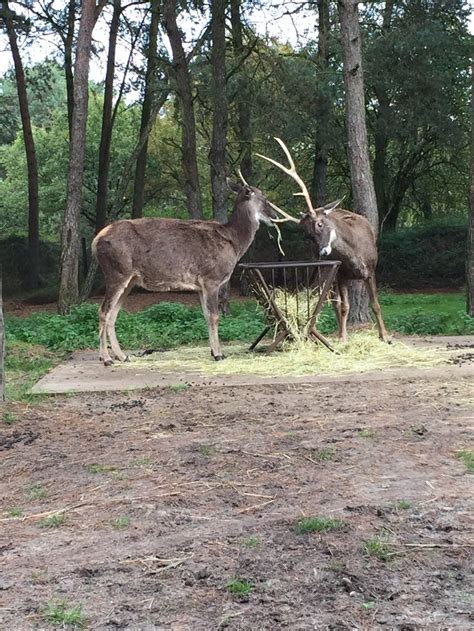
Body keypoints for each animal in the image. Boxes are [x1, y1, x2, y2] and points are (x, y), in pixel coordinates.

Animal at [92, 180, 276, 366]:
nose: (274, 216)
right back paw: (106, 358)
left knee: (113, 314)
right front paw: (218, 354)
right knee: (103, 311)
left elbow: (206, 316)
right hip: (116, 272)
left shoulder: (200, 286)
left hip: (130, 280)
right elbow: (215, 316)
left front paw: (213, 351)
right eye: (263, 198)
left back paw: (122, 356)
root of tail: (95, 241)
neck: (235, 243)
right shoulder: (211, 278)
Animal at [258, 139, 390, 346]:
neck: (355, 256)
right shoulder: (341, 273)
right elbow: (344, 306)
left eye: (320, 224)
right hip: (325, 271)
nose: (323, 252)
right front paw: (343, 337)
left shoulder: (370, 270)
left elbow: (375, 304)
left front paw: (385, 336)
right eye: (307, 235)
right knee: (331, 301)